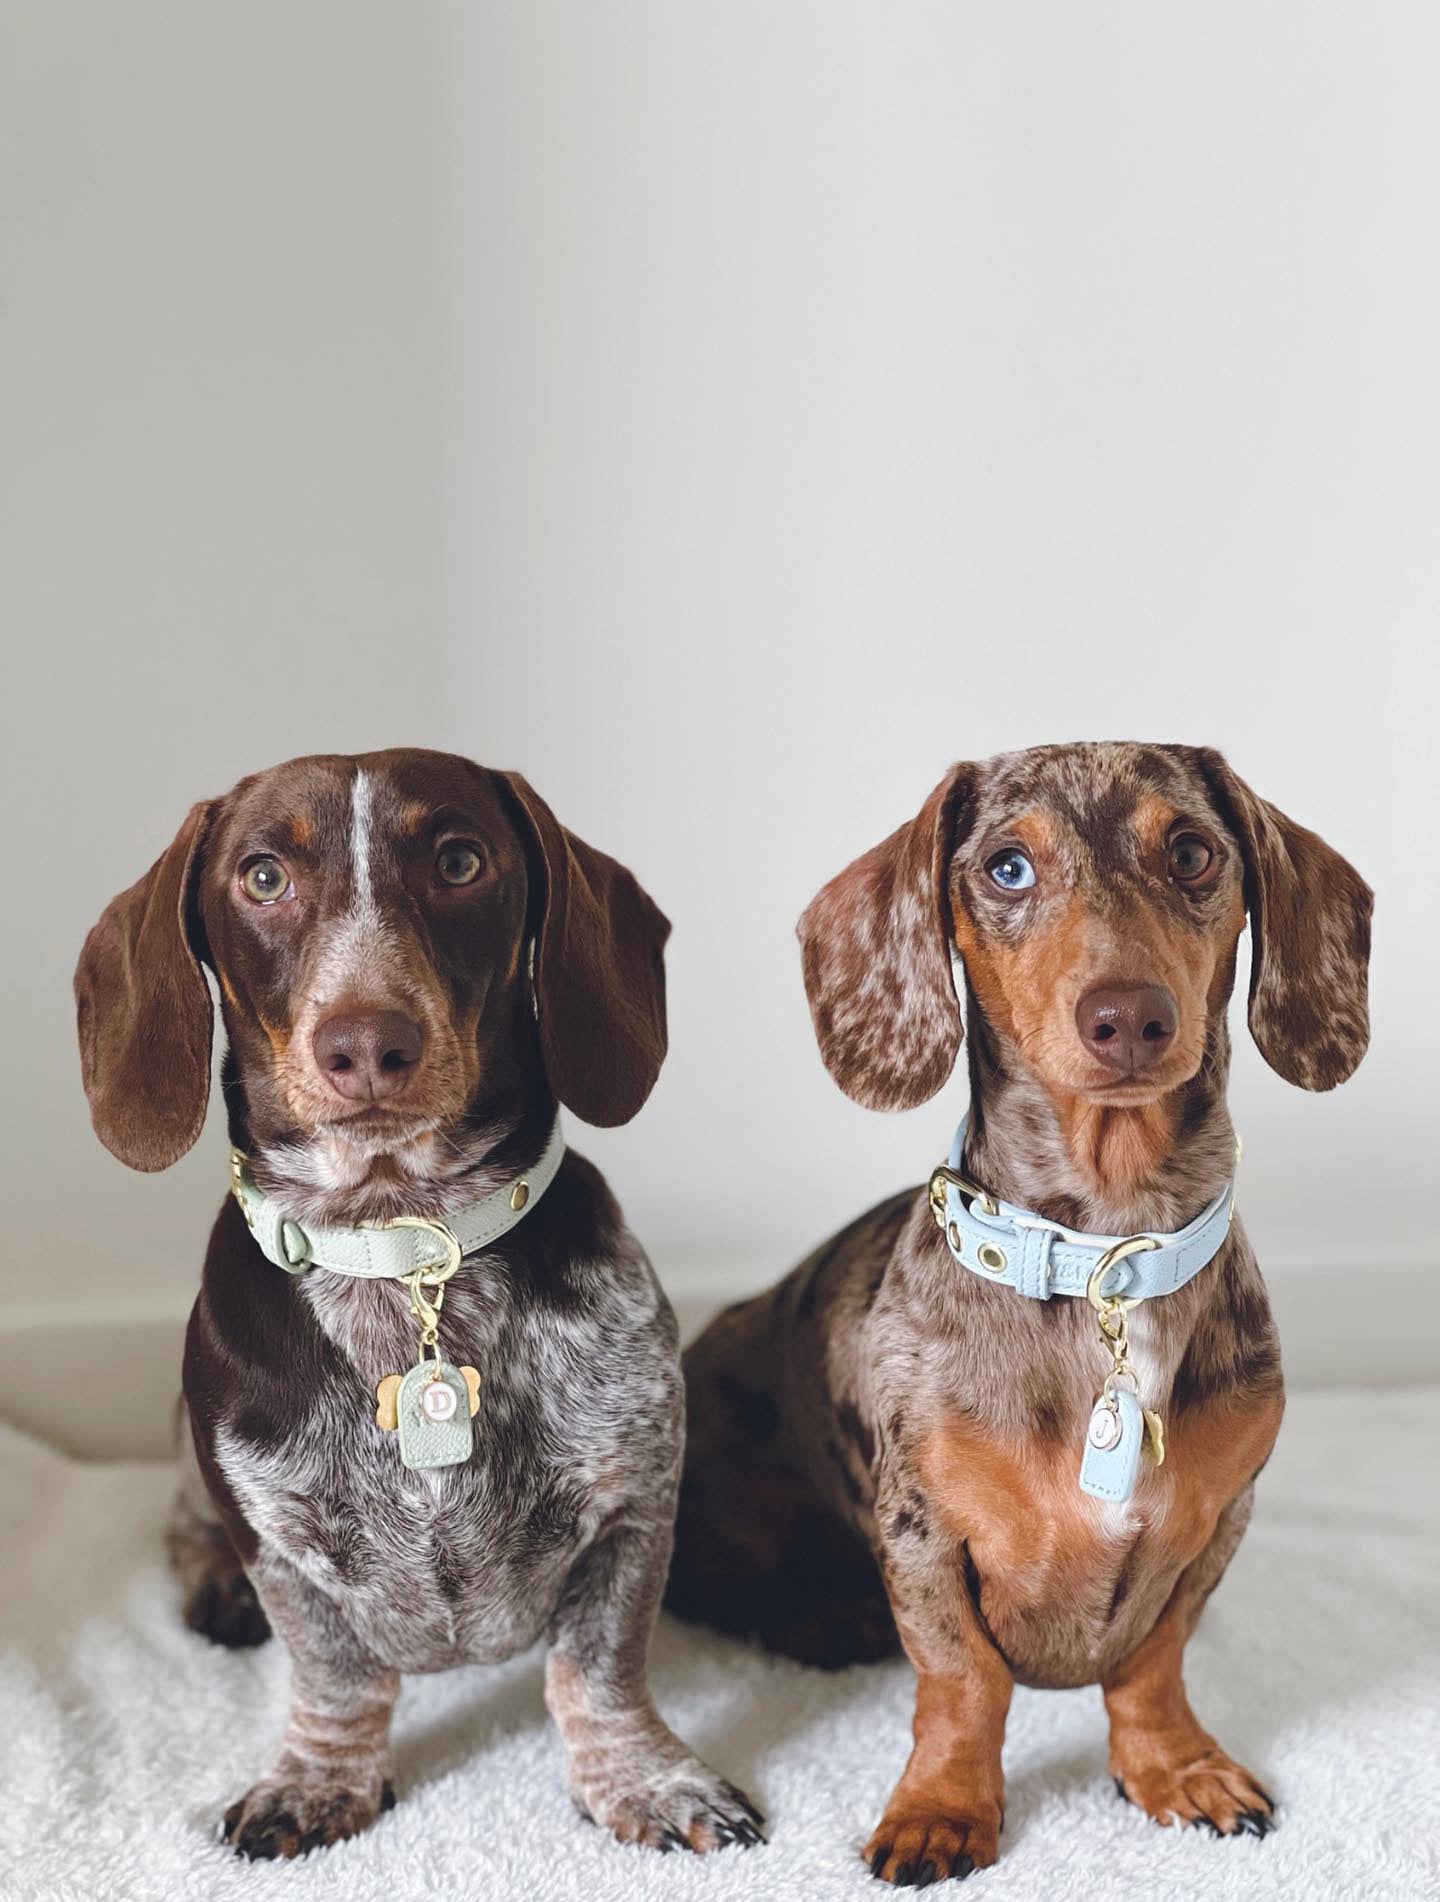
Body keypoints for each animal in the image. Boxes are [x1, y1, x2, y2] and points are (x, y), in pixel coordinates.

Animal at [75, 749, 764, 1863]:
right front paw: (318, 1781)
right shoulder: (280, 1549)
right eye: (261, 877)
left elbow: (599, 1672)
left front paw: (647, 1780)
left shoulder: (632, 1509)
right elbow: (336, 1677)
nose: (366, 1044)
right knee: (184, 1517)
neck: (402, 1243)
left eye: (458, 860)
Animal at [669, 734, 1362, 1879]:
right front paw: (941, 1810)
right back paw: (823, 1618)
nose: (1128, 1018)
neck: (1106, 1260)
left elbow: (1153, 1663)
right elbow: (964, 1679)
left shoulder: (1220, 1521)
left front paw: (1175, 1768)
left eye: (1191, 851)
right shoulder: (922, 1532)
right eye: (1007, 867)